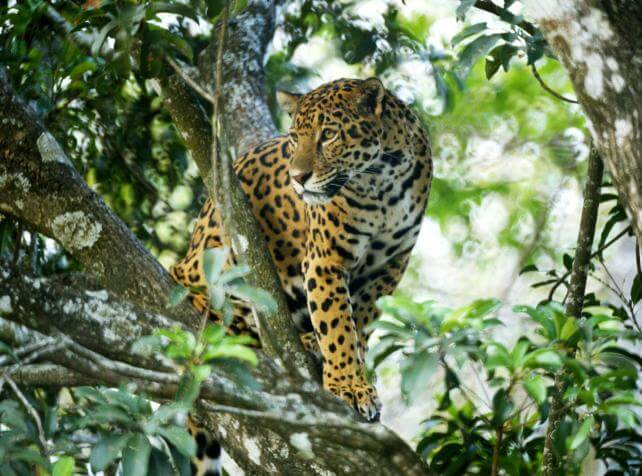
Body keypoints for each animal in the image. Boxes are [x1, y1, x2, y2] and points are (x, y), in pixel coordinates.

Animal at [170, 77, 432, 474]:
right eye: (294, 138)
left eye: (329, 135)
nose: (298, 178)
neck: (382, 184)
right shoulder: (326, 259)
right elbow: (337, 325)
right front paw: (347, 386)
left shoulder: (391, 264)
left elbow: (359, 321)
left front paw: (357, 370)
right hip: (217, 253)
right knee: (196, 290)